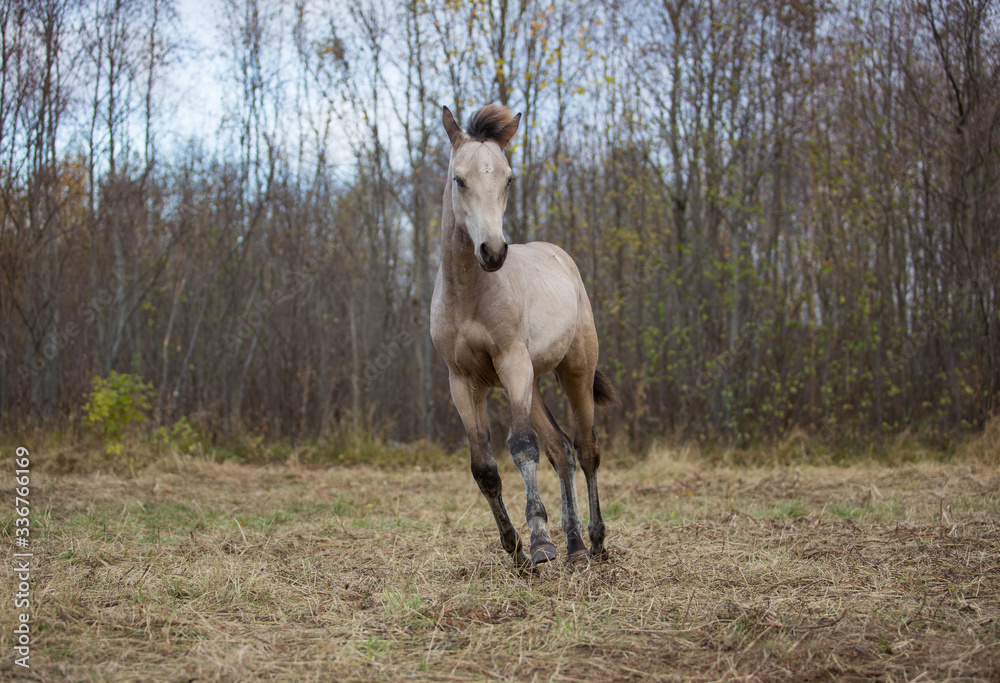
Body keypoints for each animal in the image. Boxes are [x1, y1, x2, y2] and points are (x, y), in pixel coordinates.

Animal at [430, 103, 616, 572]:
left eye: (508, 179)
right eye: (459, 179)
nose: (493, 252)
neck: (468, 296)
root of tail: (561, 256)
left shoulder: (513, 363)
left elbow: (521, 447)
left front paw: (540, 543)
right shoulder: (462, 381)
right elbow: (485, 467)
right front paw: (513, 546)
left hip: (572, 370)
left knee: (585, 448)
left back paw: (595, 542)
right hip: (529, 384)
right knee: (560, 448)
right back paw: (575, 546)